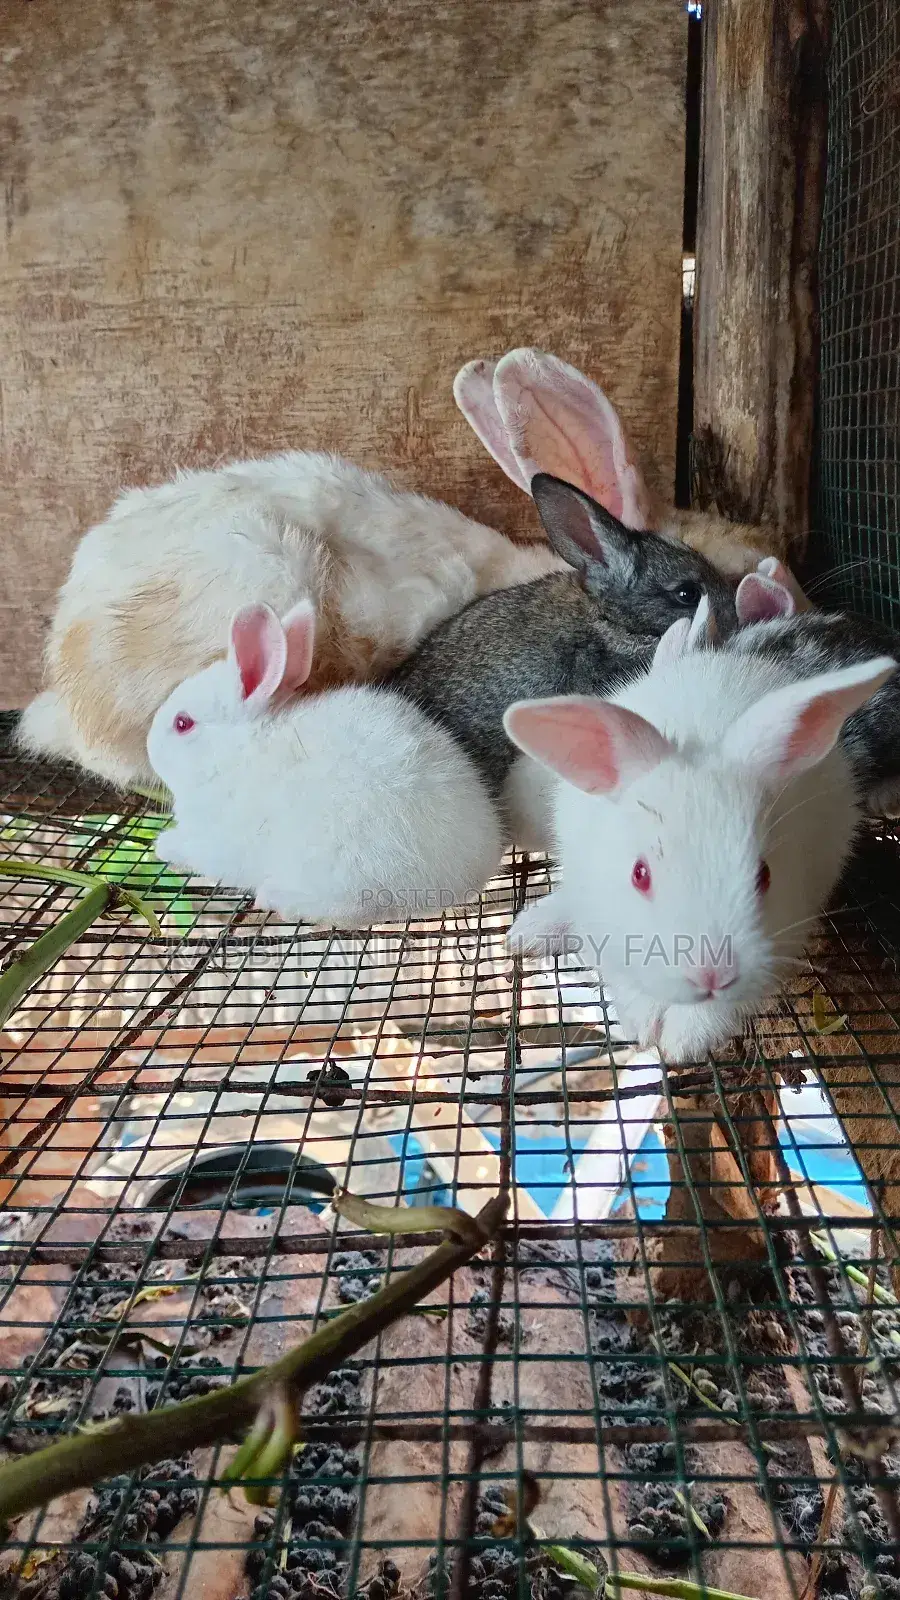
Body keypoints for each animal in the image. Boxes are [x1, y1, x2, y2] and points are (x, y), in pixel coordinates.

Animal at [145, 600, 504, 926]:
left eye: (182, 723)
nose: (149, 747)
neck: (238, 750)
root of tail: (470, 871)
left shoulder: (217, 842)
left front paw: (163, 845)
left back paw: (278, 899)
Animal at [502, 600, 895, 1065]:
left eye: (764, 875)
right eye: (639, 874)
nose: (712, 974)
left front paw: (686, 1039)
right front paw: (643, 1023)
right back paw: (529, 931)